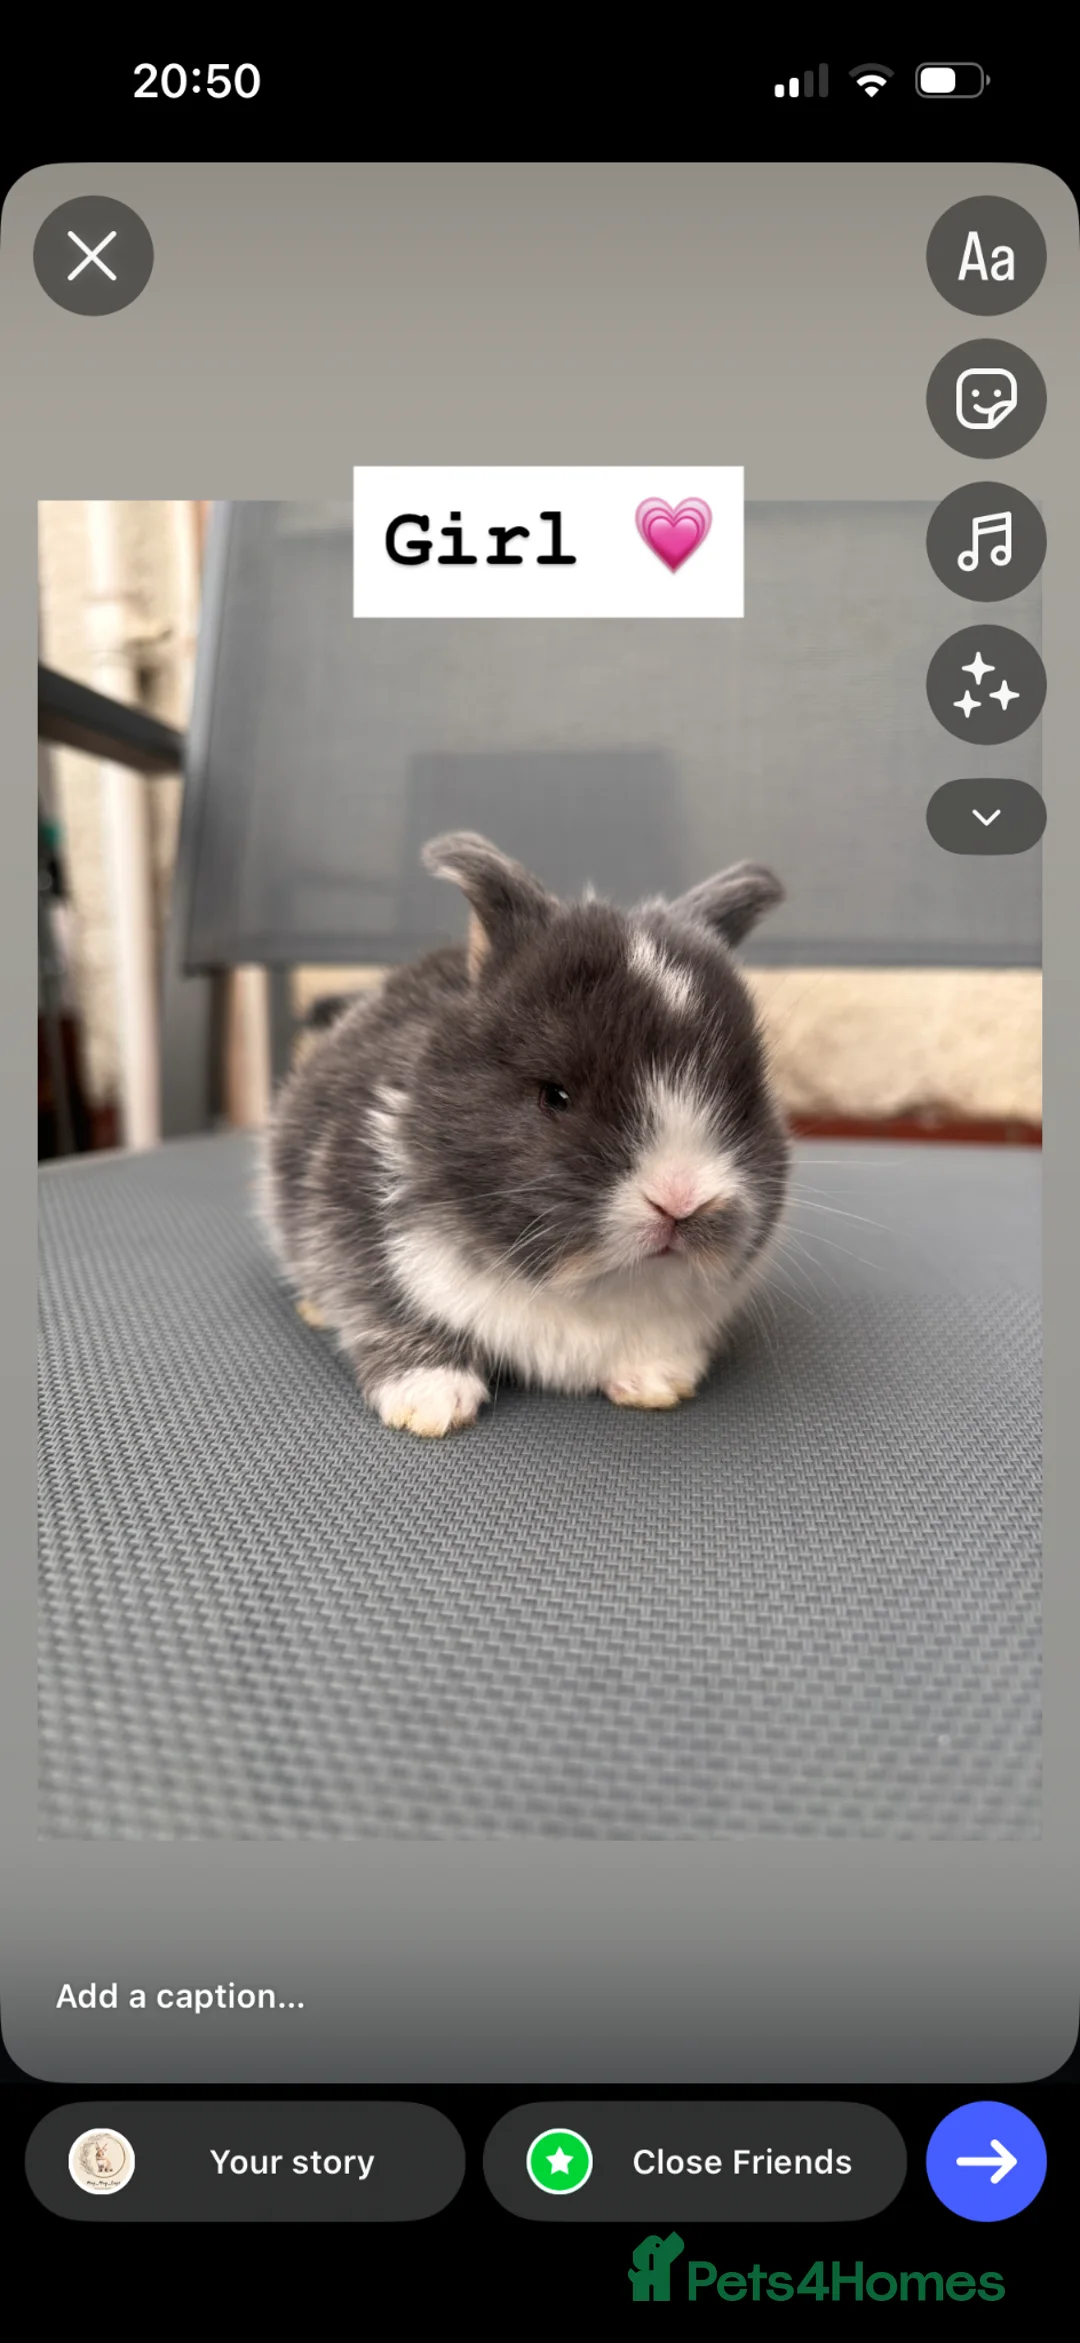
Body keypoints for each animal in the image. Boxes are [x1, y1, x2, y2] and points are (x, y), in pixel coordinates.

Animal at [263, 833, 790, 1436]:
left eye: (745, 1098)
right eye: (554, 1096)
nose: (681, 1200)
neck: (579, 1286)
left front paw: (656, 1383)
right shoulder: (353, 1225)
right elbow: (385, 1310)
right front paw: (430, 1402)